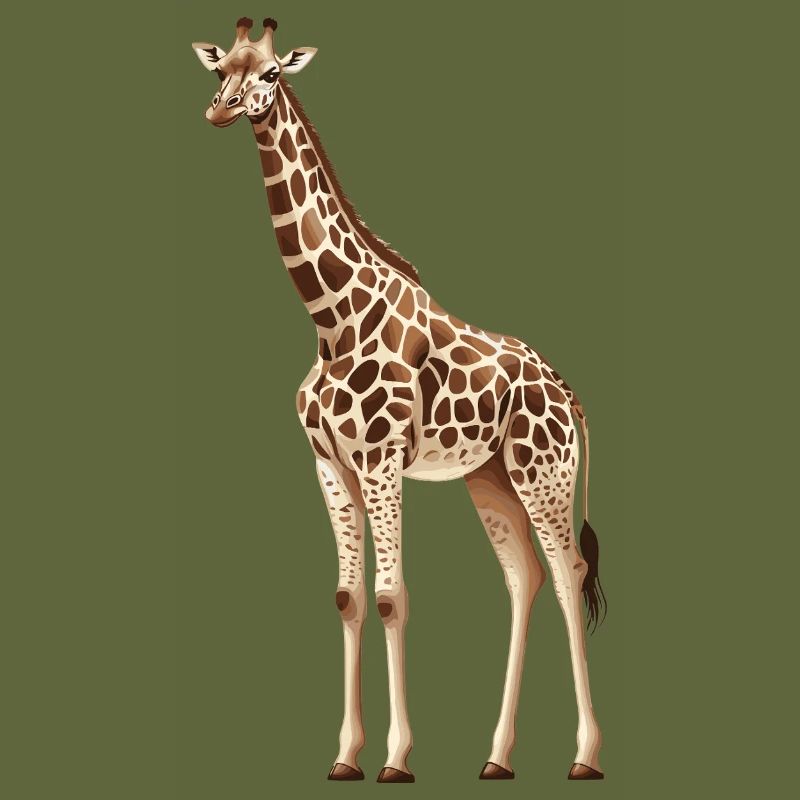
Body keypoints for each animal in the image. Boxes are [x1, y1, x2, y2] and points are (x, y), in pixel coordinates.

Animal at [192, 17, 606, 783]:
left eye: (270, 73)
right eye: (220, 69)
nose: (221, 110)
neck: (332, 320)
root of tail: (571, 395)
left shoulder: (382, 460)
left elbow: (391, 598)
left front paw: (395, 758)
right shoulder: (329, 464)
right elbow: (348, 597)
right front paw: (344, 757)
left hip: (545, 472)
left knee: (569, 573)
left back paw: (585, 757)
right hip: (490, 477)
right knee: (525, 577)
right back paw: (496, 757)